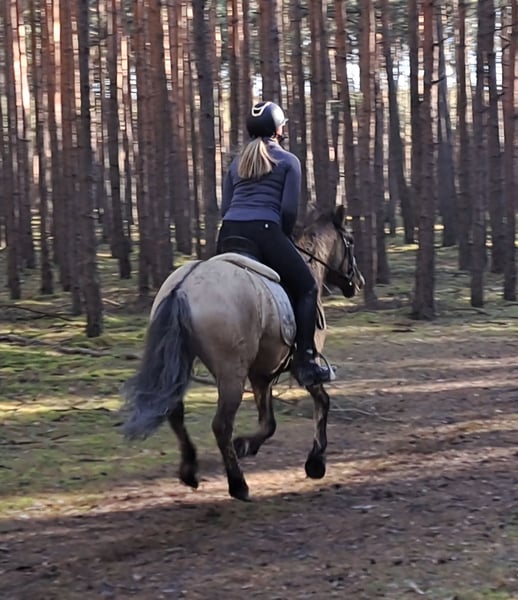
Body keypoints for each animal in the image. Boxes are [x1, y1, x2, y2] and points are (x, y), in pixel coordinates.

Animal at [122, 204, 364, 501]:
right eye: (350, 241)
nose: (358, 282)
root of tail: (184, 287)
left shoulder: (262, 373)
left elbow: (269, 422)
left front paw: (246, 445)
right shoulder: (301, 365)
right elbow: (322, 401)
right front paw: (315, 462)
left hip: (180, 362)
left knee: (175, 411)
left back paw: (190, 470)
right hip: (231, 373)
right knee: (221, 425)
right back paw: (238, 484)